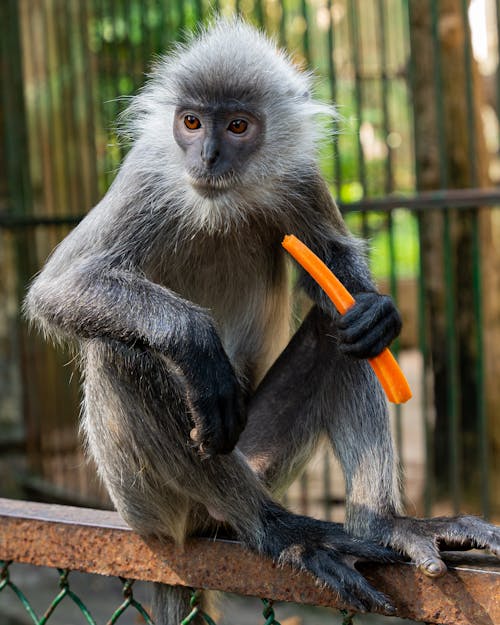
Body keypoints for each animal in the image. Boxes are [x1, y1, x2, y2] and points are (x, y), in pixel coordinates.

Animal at [25, 17, 498, 620]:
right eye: (192, 122)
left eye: (238, 125)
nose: (206, 157)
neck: (219, 202)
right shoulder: (146, 178)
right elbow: (57, 290)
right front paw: (195, 341)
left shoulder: (300, 176)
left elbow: (335, 274)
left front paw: (380, 311)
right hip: (147, 502)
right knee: (118, 350)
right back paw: (282, 531)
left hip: (260, 455)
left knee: (337, 327)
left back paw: (386, 525)